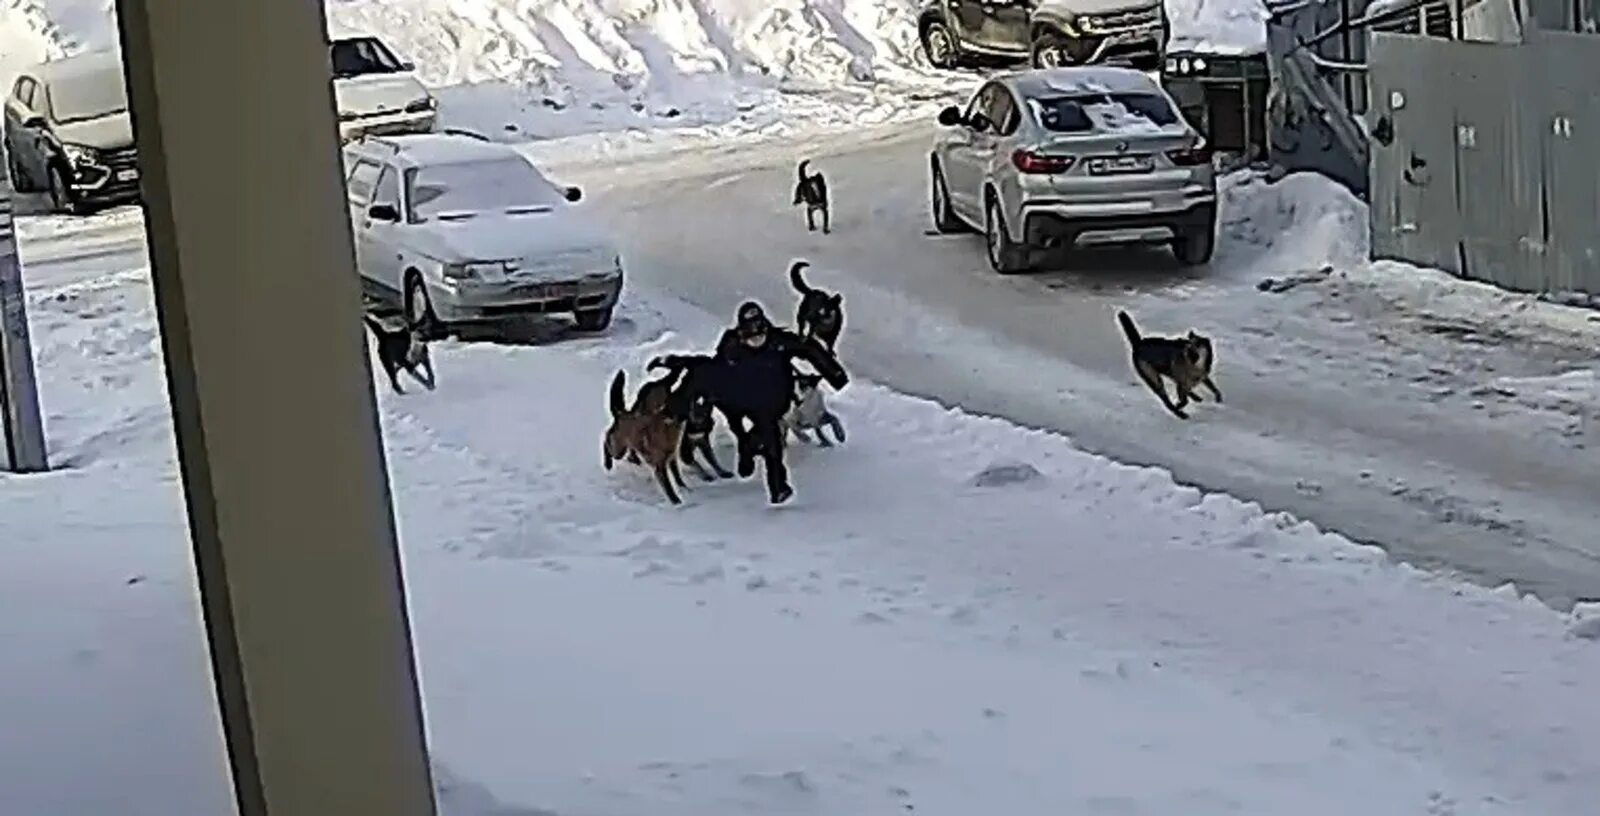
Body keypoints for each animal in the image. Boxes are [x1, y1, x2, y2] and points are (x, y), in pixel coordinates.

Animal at [601, 368, 691, 502]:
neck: (668, 431)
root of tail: (621, 413)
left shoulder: (671, 459)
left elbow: (678, 477)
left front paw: (685, 489)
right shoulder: (660, 467)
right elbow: (669, 488)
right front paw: (677, 502)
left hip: (622, 448)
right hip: (618, 450)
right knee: (606, 438)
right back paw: (608, 464)